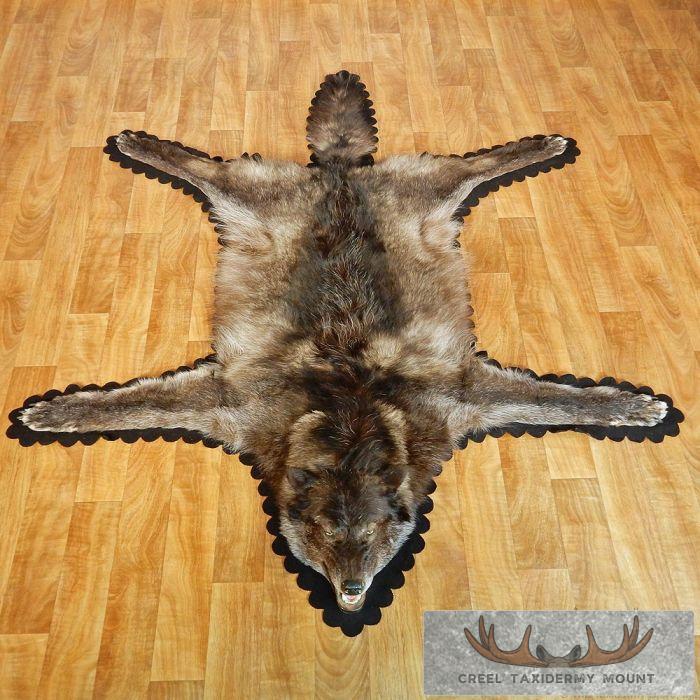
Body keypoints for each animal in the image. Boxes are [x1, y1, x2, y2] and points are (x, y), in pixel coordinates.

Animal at [20, 71, 666, 612]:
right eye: (326, 535)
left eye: (377, 536)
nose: (352, 593)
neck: (350, 421)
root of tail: (340, 171)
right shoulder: (233, 401)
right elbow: (132, 403)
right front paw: (56, 412)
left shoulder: (459, 393)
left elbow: (561, 399)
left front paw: (631, 405)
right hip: (256, 196)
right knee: (209, 170)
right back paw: (141, 145)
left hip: (419, 192)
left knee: (472, 166)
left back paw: (541, 147)